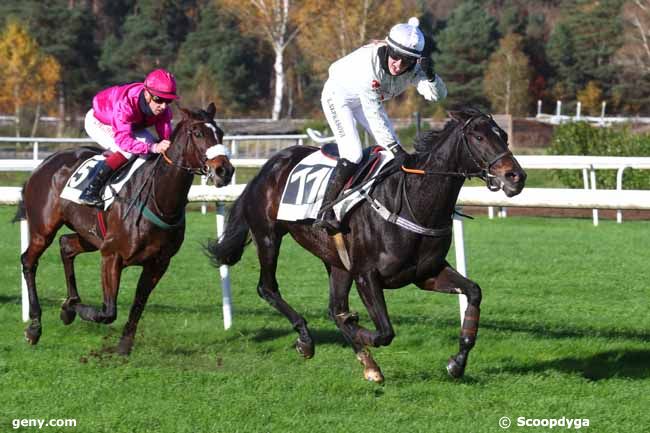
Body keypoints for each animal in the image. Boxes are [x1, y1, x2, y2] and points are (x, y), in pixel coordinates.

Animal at [16, 104, 234, 354]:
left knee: (66, 246)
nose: (224, 171)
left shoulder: (158, 263)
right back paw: (35, 326)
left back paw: (68, 304)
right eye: (198, 133)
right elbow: (108, 312)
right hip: (43, 230)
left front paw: (123, 347)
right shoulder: (111, 255)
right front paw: (76, 309)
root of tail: (45, 163)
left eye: (221, 133)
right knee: (29, 261)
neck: (158, 199)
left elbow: (138, 304)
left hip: (90, 236)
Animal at [210, 108, 524, 382]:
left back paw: (365, 361)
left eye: (504, 136)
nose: (516, 177)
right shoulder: (366, 276)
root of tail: (270, 165)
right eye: (479, 137)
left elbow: (473, 292)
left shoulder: (426, 274)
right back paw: (306, 340)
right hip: (268, 236)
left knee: (334, 307)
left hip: (336, 262)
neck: (413, 200)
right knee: (268, 288)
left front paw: (457, 362)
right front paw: (358, 331)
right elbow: (384, 332)